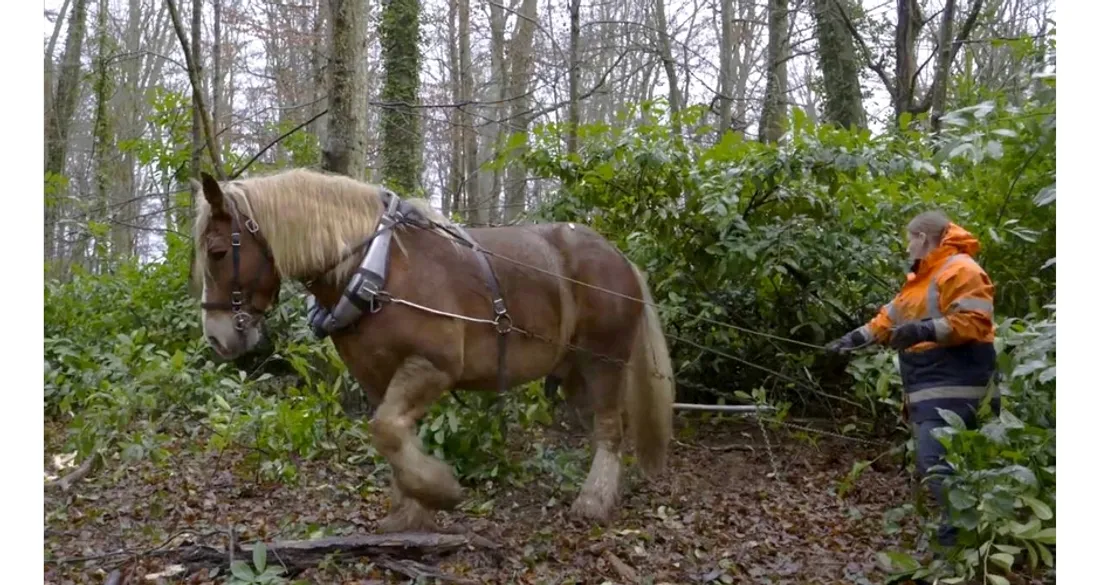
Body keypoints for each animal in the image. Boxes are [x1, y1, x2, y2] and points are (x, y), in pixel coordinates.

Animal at [191, 168, 675, 532]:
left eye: (217, 252)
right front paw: (410, 510)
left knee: (610, 429)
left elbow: (387, 431)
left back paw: (593, 501)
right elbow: (393, 436)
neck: (379, 267)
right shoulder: (378, 377)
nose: (215, 337)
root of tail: (621, 258)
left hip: (604, 361)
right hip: (574, 369)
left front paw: (440, 490)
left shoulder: (433, 366)